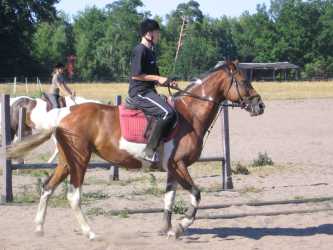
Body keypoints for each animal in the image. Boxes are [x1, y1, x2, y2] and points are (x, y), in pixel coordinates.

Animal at [5, 61, 264, 240]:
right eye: (244, 82)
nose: (260, 105)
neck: (189, 115)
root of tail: (63, 113)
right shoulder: (179, 165)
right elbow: (196, 194)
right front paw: (180, 227)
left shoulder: (172, 169)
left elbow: (169, 198)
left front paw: (166, 229)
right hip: (80, 160)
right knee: (73, 195)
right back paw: (90, 233)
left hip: (66, 161)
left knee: (47, 187)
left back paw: (39, 228)